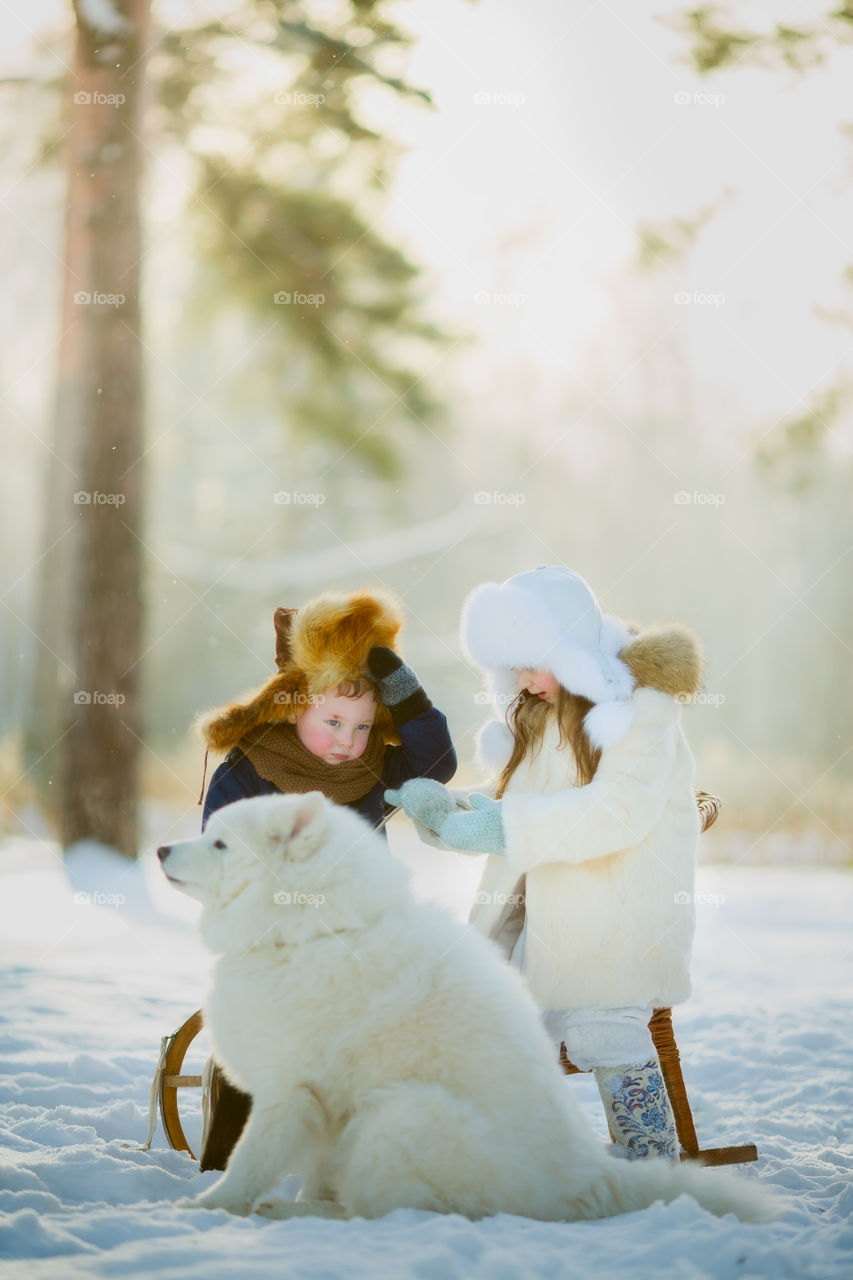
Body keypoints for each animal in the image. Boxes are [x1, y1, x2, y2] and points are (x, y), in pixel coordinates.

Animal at [157, 793, 768, 1223]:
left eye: (220, 844)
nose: (160, 849)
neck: (315, 930)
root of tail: (580, 1179)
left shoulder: (290, 1093)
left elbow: (248, 1162)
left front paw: (209, 1207)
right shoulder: (321, 1108)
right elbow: (310, 1169)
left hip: (399, 1115)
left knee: (387, 1211)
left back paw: (291, 1210)